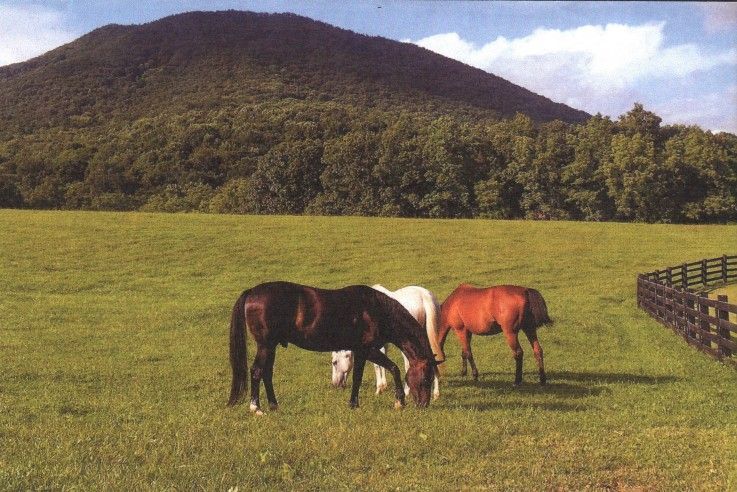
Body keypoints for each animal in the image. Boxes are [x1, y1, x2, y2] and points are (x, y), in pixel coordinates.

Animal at [229, 278, 436, 414]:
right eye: (426, 378)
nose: (424, 405)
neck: (375, 309)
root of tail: (252, 291)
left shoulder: (363, 351)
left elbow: (373, 372)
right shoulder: (367, 350)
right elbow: (383, 371)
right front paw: (396, 402)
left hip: (270, 346)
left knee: (267, 373)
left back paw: (274, 405)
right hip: (265, 345)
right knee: (257, 371)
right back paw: (256, 408)